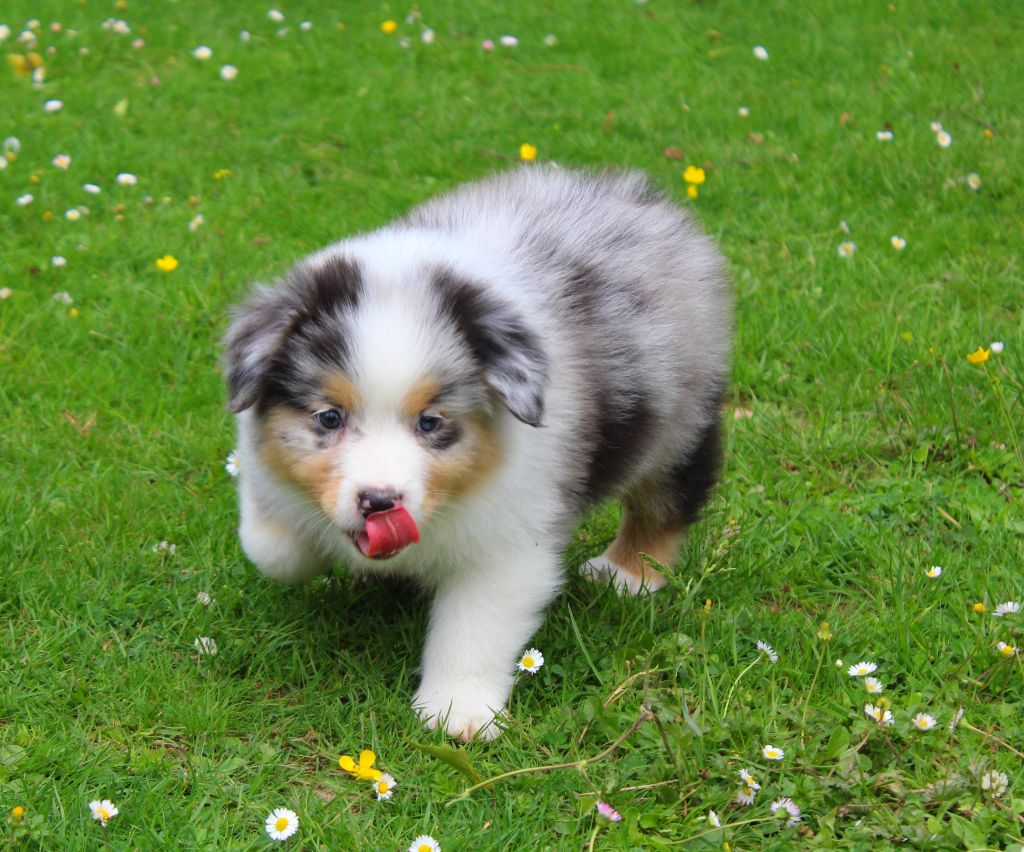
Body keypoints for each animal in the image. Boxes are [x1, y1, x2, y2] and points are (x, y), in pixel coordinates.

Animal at [223, 165, 730, 741]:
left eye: (431, 423)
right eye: (329, 418)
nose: (380, 503)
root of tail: (642, 198)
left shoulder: (511, 537)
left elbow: (474, 626)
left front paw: (456, 713)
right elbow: (271, 548)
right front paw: (301, 541)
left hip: (680, 419)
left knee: (667, 498)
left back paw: (626, 573)